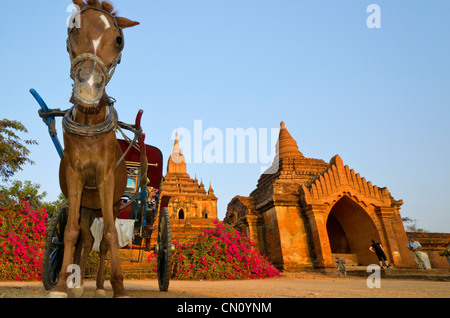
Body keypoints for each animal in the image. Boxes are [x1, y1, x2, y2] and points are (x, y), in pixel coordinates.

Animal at [49, 0, 139, 298]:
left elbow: (110, 233)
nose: (88, 85)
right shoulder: (75, 177)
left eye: (119, 40)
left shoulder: (106, 179)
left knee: (101, 242)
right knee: (86, 238)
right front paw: (62, 285)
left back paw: (100, 286)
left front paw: (118, 286)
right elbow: (71, 232)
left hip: (109, 202)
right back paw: (77, 283)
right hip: (89, 207)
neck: (90, 122)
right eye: (73, 28)